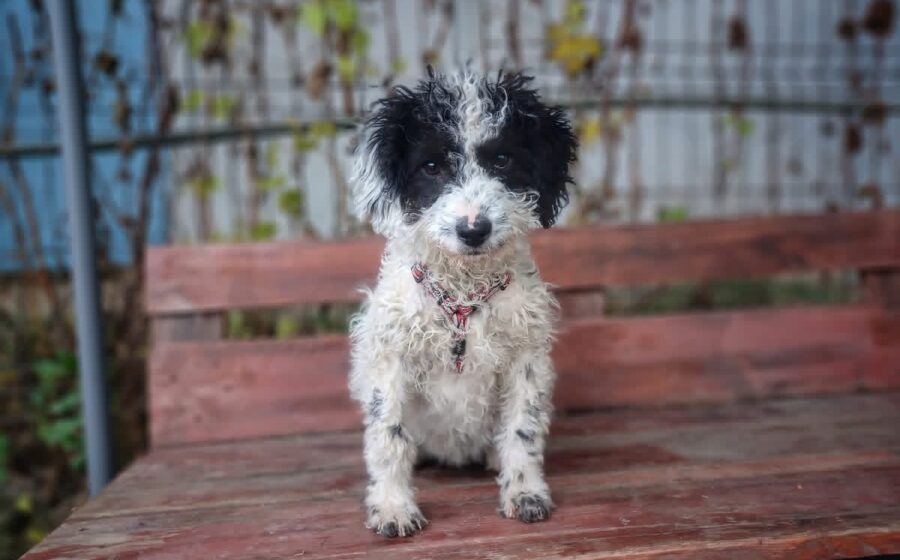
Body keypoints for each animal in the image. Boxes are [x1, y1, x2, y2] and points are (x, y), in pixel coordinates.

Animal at [348, 69, 577, 537]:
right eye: (432, 166)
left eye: (502, 160)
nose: (474, 229)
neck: (463, 300)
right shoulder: (390, 356)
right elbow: (389, 435)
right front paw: (393, 506)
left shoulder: (525, 357)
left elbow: (523, 430)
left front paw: (524, 492)